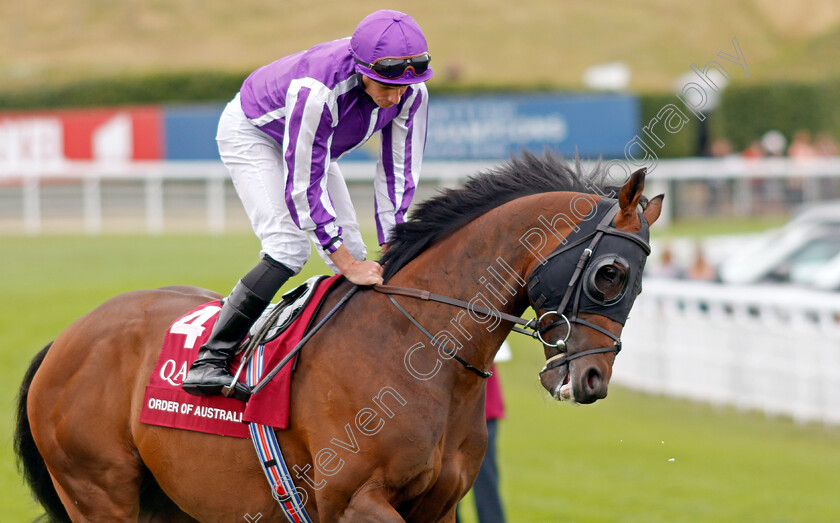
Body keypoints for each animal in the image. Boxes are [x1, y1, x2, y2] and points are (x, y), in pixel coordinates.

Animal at [14, 152, 664, 523]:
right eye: (611, 274)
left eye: (640, 282)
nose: (591, 378)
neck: (418, 352)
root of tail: (62, 342)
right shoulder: (354, 501)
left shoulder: (439, 507)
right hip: (98, 492)